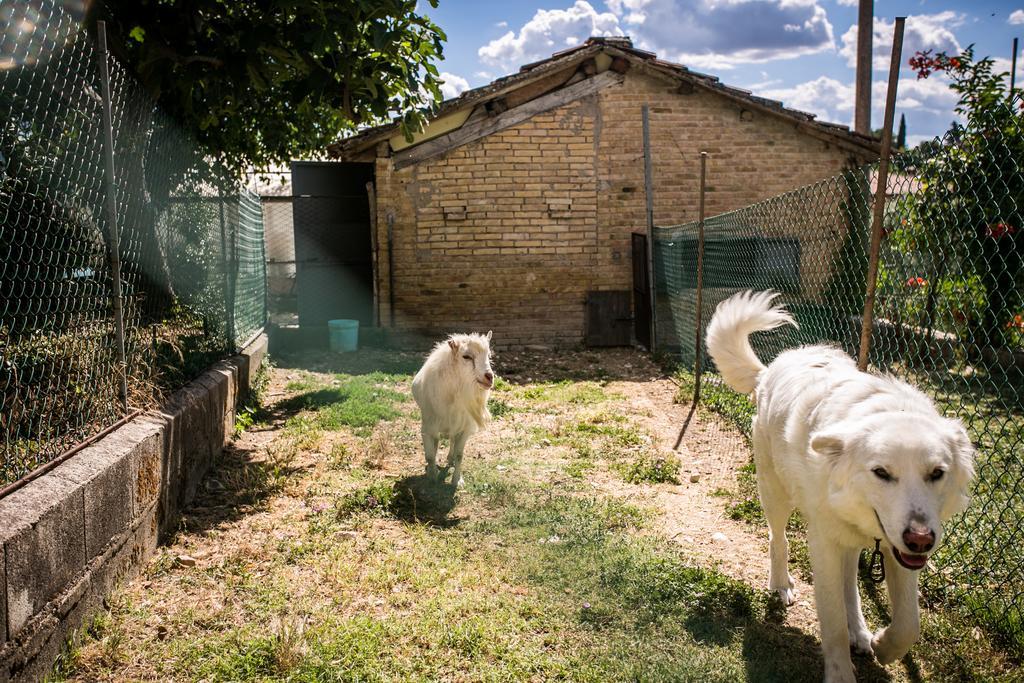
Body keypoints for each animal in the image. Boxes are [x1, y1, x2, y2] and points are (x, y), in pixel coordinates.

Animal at [409, 331, 493, 489]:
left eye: (489, 355)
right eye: (466, 356)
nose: (489, 377)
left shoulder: (464, 429)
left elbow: (460, 456)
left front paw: (457, 480)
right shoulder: (427, 428)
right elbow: (430, 455)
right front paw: (432, 477)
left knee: (452, 441)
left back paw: (450, 458)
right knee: (436, 444)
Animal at [704, 292, 974, 683]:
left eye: (936, 473)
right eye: (881, 472)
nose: (921, 539)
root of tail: (768, 372)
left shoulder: (895, 551)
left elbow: (909, 623)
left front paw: (883, 646)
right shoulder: (825, 544)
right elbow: (831, 622)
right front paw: (842, 671)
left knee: (851, 584)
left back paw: (860, 633)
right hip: (776, 495)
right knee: (778, 540)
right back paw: (781, 585)